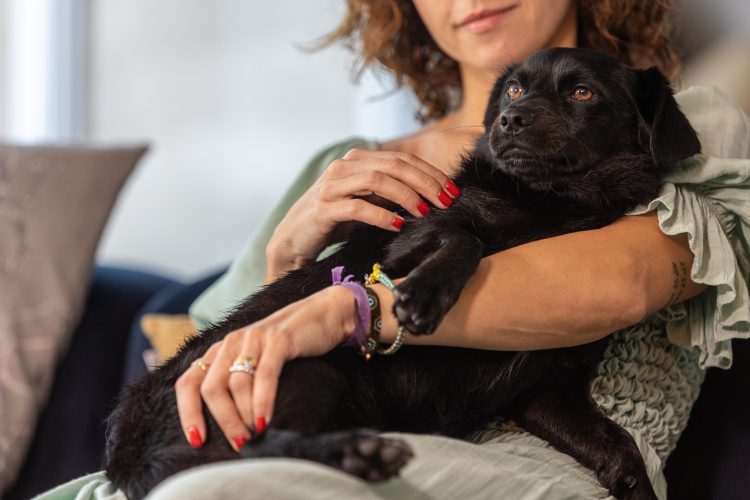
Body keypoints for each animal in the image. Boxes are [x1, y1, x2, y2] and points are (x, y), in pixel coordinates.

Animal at [106, 47, 704, 500]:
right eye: (514, 90)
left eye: (583, 93)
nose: (509, 120)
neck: (556, 207)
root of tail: (124, 451)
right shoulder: (407, 241)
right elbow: (464, 236)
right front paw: (423, 296)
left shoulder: (548, 394)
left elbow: (621, 447)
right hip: (301, 374)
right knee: (253, 454)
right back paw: (359, 453)